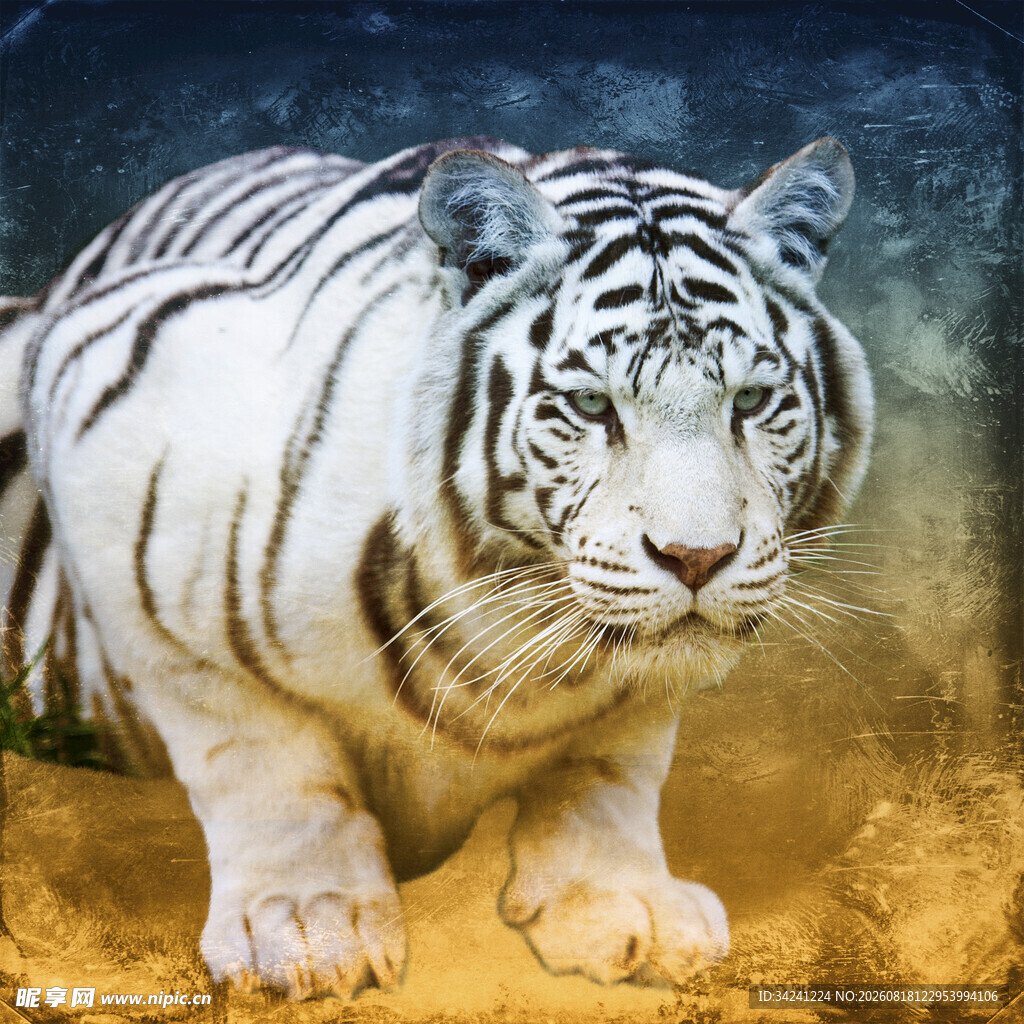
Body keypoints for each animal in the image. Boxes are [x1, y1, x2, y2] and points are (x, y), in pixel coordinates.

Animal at [0, 136, 872, 997]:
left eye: (751, 401)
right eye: (593, 406)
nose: (698, 557)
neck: (518, 637)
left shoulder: (632, 700)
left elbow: (609, 766)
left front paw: (620, 903)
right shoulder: (110, 442)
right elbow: (260, 754)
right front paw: (305, 930)